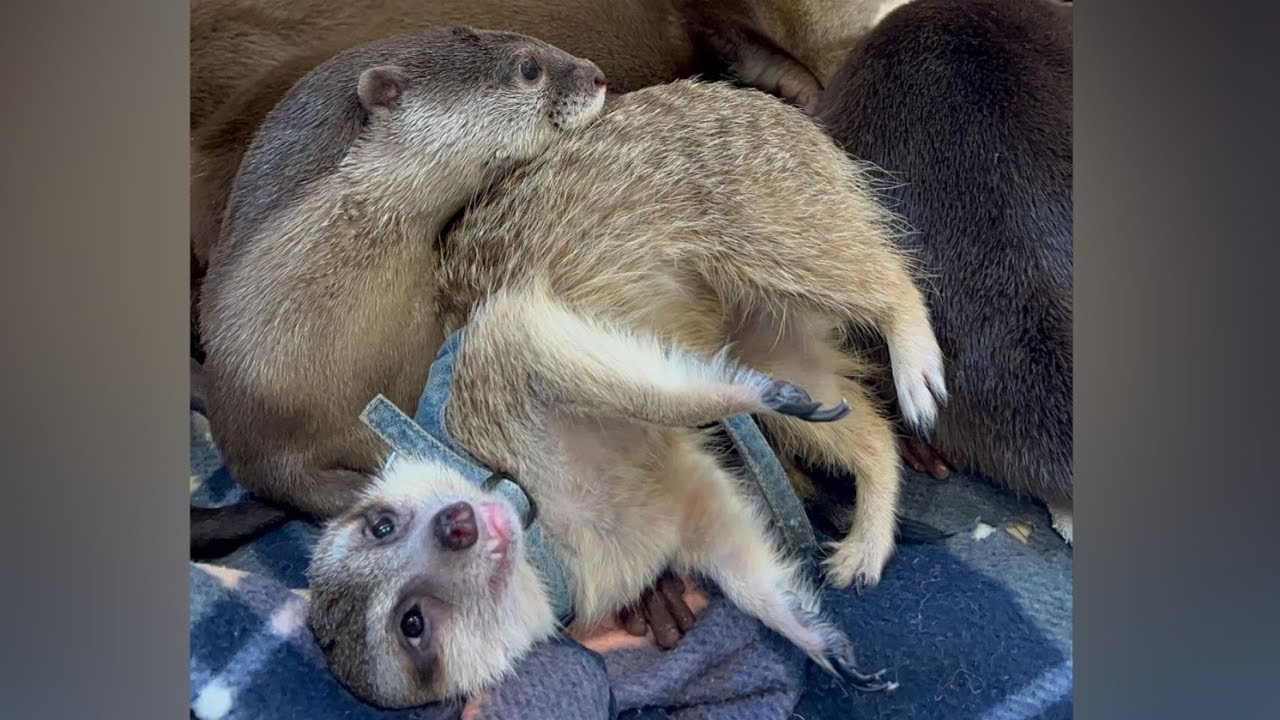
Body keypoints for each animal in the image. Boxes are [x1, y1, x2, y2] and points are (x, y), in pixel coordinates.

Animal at [307, 79, 945, 707]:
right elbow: (730, 548)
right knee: (849, 417)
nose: (458, 523)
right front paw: (812, 636)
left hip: (762, 203)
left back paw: (911, 349)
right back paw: (868, 530)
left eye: (381, 524)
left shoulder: (500, 355)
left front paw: (741, 398)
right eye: (411, 624)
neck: (541, 512)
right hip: (768, 328)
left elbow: (565, 350)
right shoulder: (661, 520)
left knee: (857, 268)